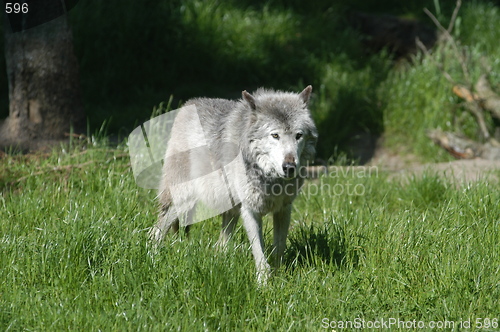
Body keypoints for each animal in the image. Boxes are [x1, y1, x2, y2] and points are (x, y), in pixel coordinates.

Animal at [150, 85, 318, 282]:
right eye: (275, 135)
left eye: (298, 135)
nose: (289, 166)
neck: (271, 179)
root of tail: (187, 105)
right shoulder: (250, 210)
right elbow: (259, 252)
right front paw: (263, 282)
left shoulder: (284, 209)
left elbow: (279, 249)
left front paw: (279, 278)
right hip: (184, 201)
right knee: (156, 231)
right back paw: (152, 259)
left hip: (230, 208)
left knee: (220, 245)